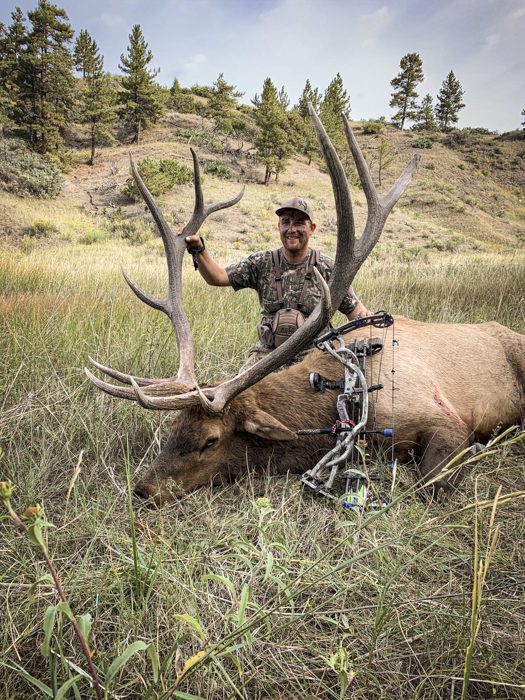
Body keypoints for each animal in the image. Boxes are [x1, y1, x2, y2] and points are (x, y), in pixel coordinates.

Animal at [86, 108, 525, 507]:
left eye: (210, 440)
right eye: (174, 427)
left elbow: (432, 484)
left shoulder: (444, 418)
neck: (345, 391)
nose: (143, 490)